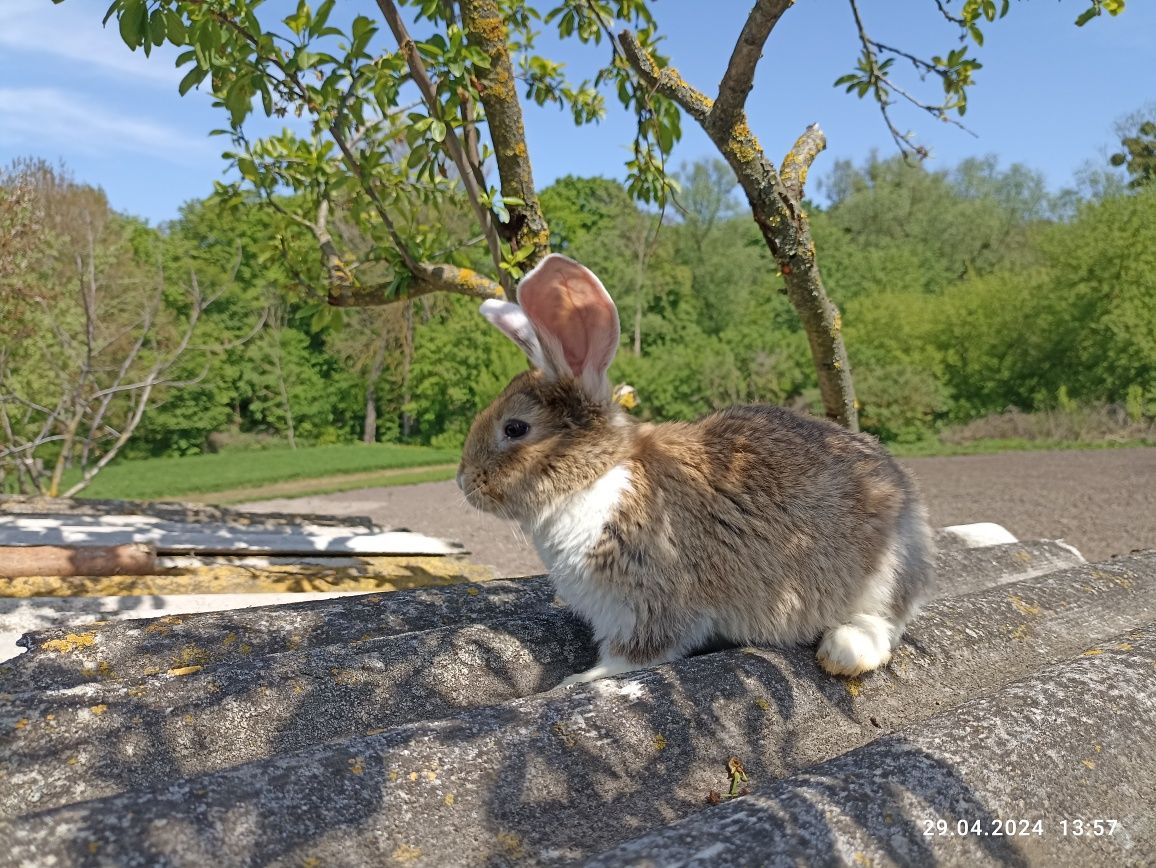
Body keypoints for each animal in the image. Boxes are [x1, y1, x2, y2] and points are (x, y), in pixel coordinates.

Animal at [455, 254, 934, 688]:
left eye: (515, 428)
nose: (464, 482)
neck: (600, 474)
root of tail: (906, 496)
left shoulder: (650, 599)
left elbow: (634, 654)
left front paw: (576, 680)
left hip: (883, 574)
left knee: (885, 623)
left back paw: (843, 652)